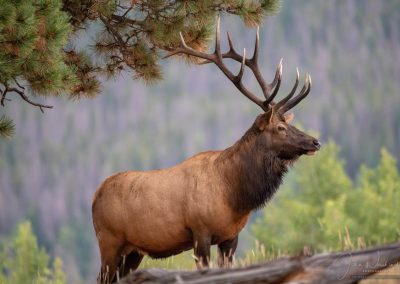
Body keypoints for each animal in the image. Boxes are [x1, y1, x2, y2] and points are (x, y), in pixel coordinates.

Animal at [92, 18, 320, 284]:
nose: (315, 142)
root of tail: (95, 196)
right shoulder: (200, 231)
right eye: (280, 127)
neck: (234, 195)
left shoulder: (231, 237)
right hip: (108, 241)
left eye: (289, 123)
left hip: (133, 251)